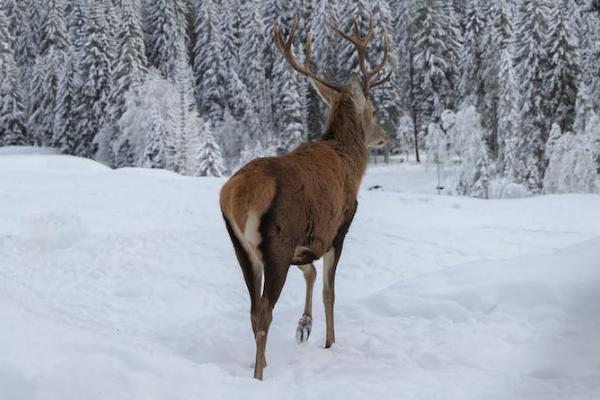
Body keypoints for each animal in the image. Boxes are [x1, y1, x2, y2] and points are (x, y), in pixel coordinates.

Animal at [218, 15, 392, 380]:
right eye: (372, 110)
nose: (385, 136)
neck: (351, 163)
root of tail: (238, 196)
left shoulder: (307, 242)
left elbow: (310, 273)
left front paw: (304, 325)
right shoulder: (338, 227)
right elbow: (329, 290)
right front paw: (329, 341)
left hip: (242, 248)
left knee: (252, 308)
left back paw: (260, 361)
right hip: (278, 243)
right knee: (265, 309)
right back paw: (259, 375)